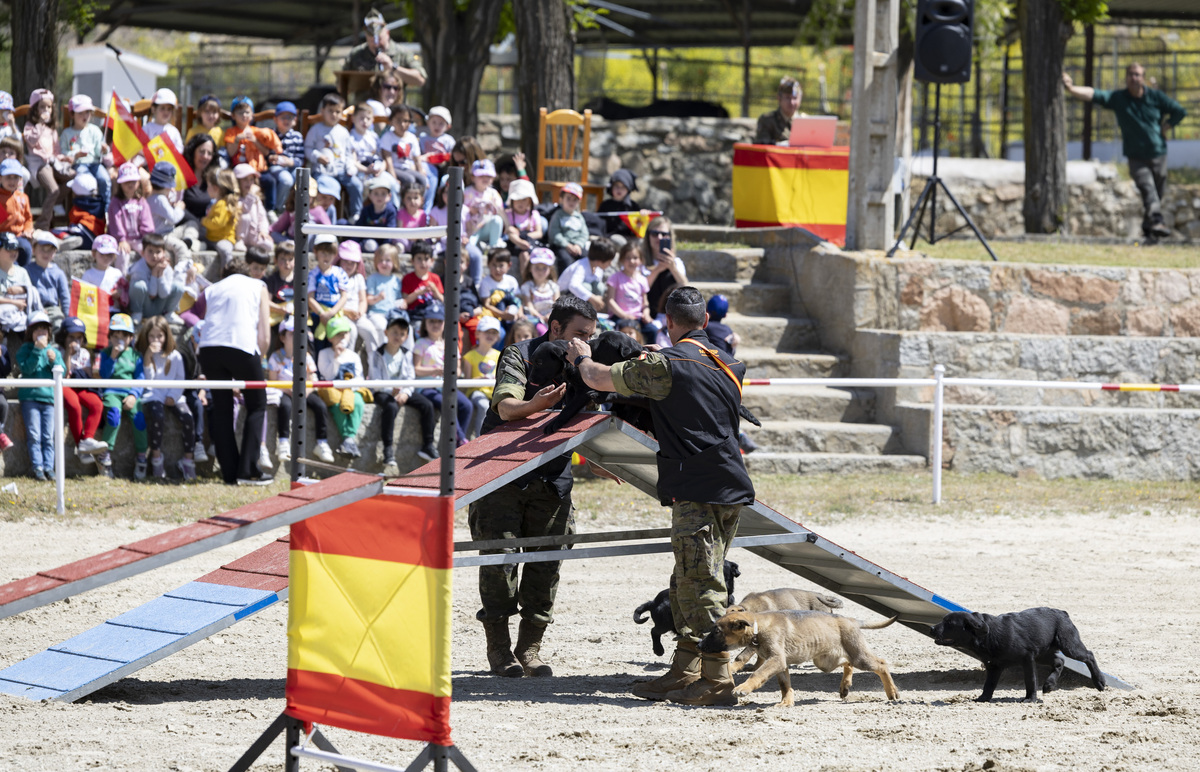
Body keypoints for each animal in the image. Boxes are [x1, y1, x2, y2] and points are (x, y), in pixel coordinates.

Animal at [700, 609, 902, 705]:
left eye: (716, 631)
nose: (699, 645)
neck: (759, 627)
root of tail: (851, 620)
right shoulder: (780, 664)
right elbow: (785, 685)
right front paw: (786, 703)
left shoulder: (776, 660)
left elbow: (757, 674)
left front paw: (743, 688)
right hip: (825, 661)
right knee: (847, 663)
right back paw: (845, 687)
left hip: (859, 656)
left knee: (881, 664)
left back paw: (892, 692)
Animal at [931, 607, 1108, 705]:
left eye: (949, 624)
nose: (932, 628)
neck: (988, 636)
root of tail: (1063, 613)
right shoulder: (994, 666)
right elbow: (988, 685)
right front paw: (983, 698)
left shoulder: (1027, 658)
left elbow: (1030, 681)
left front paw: (1030, 699)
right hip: (1043, 653)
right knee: (1059, 661)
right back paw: (1049, 685)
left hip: (1068, 645)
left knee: (1088, 655)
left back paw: (1100, 682)